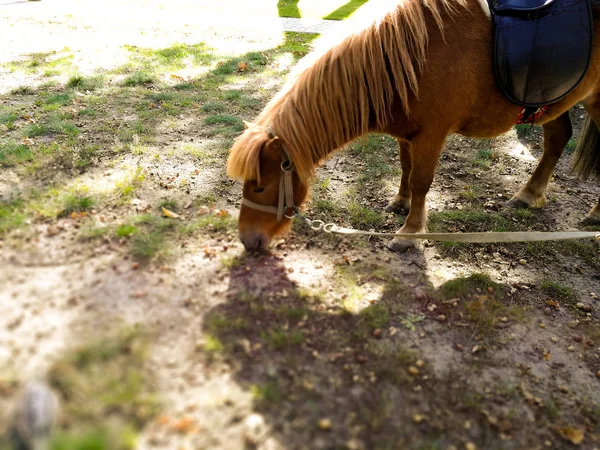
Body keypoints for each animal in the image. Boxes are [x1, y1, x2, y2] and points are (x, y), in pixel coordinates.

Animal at [225, 0, 600, 253]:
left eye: (259, 187)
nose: (247, 240)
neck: (411, 58)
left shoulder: (431, 135)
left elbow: (421, 181)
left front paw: (410, 233)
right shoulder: (408, 135)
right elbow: (405, 169)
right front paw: (400, 202)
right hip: (554, 101)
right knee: (557, 140)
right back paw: (529, 194)